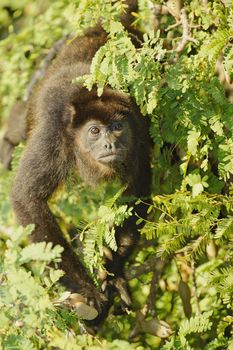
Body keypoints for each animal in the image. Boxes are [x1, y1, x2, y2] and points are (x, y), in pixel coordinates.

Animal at [0, 0, 152, 322]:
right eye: (94, 131)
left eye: (117, 127)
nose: (110, 144)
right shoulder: (52, 136)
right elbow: (27, 198)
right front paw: (87, 290)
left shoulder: (140, 132)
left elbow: (136, 191)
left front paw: (113, 273)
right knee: (21, 122)